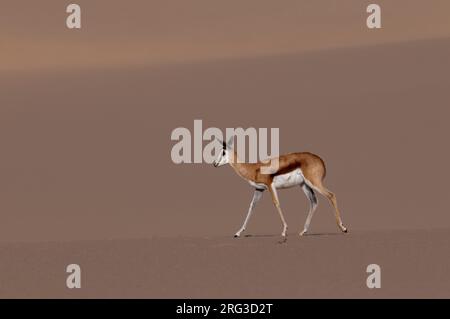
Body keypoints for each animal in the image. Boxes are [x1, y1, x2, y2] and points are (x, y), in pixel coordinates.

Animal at [214, 138, 348, 238]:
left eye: (223, 152)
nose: (215, 164)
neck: (254, 169)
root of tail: (321, 160)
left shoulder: (270, 186)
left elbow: (276, 203)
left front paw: (284, 231)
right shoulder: (259, 189)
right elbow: (252, 207)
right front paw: (238, 232)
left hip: (314, 183)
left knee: (331, 195)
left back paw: (343, 228)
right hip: (304, 185)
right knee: (314, 202)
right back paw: (303, 231)